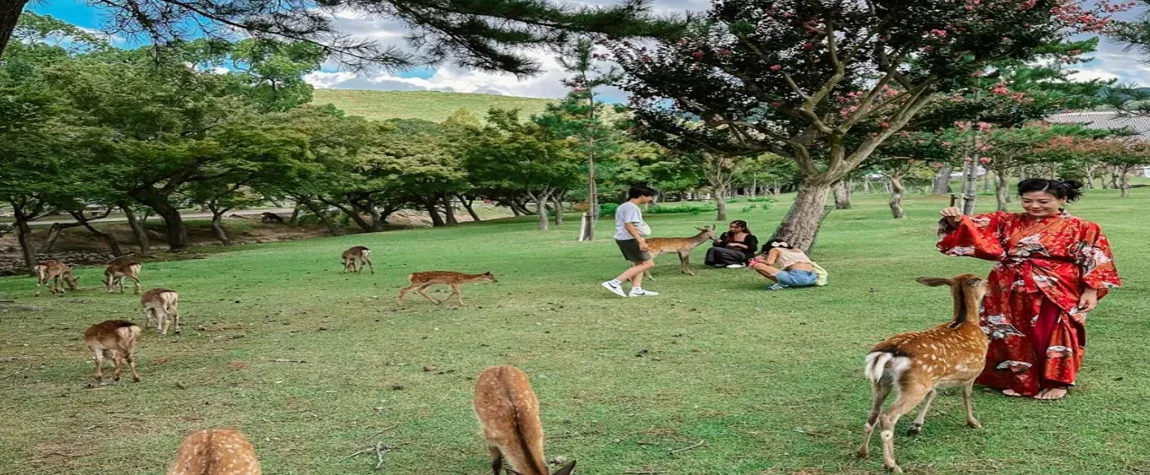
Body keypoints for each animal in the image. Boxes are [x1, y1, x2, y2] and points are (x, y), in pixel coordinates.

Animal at [855, 272, 989, 471]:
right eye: (984, 282)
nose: (991, 284)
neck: (966, 320)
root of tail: (886, 352)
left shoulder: (935, 379)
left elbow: (932, 394)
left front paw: (916, 426)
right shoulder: (973, 372)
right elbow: (967, 396)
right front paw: (973, 422)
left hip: (881, 383)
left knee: (873, 414)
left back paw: (863, 452)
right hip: (914, 384)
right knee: (887, 417)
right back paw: (891, 464)